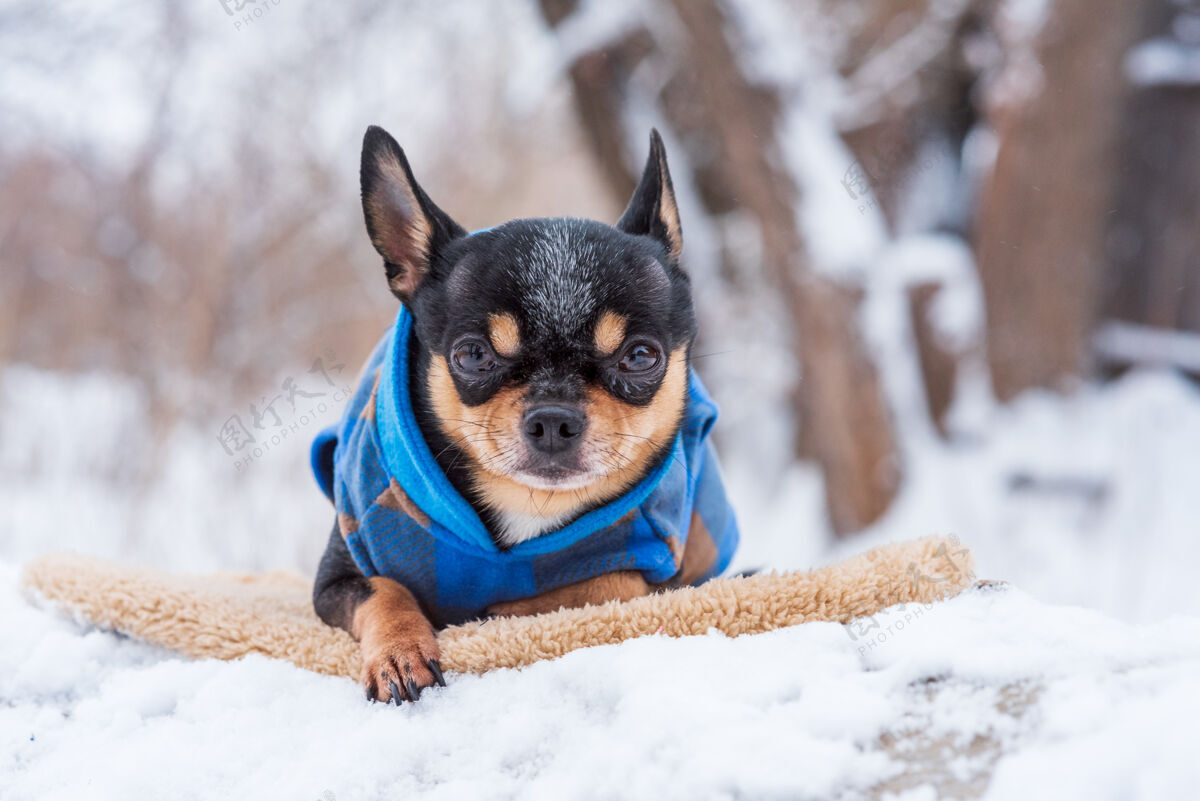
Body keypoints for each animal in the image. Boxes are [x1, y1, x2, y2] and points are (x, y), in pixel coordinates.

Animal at [307, 123, 739, 700]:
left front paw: (508, 608)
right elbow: (384, 590)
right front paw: (400, 652)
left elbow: (606, 583)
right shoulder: (334, 580)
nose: (553, 418)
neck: (527, 507)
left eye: (641, 357)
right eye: (472, 355)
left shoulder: (654, 570)